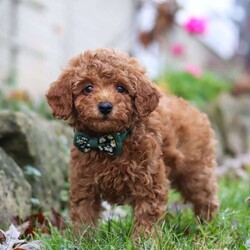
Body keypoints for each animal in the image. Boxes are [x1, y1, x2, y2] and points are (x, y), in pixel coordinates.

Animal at [46, 47, 219, 236]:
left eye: (121, 88)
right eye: (88, 88)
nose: (105, 106)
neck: (109, 140)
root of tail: (193, 109)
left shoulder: (149, 181)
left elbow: (147, 217)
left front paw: (144, 239)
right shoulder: (83, 182)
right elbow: (83, 214)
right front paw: (81, 238)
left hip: (196, 171)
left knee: (205, 197)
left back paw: (207, 227)